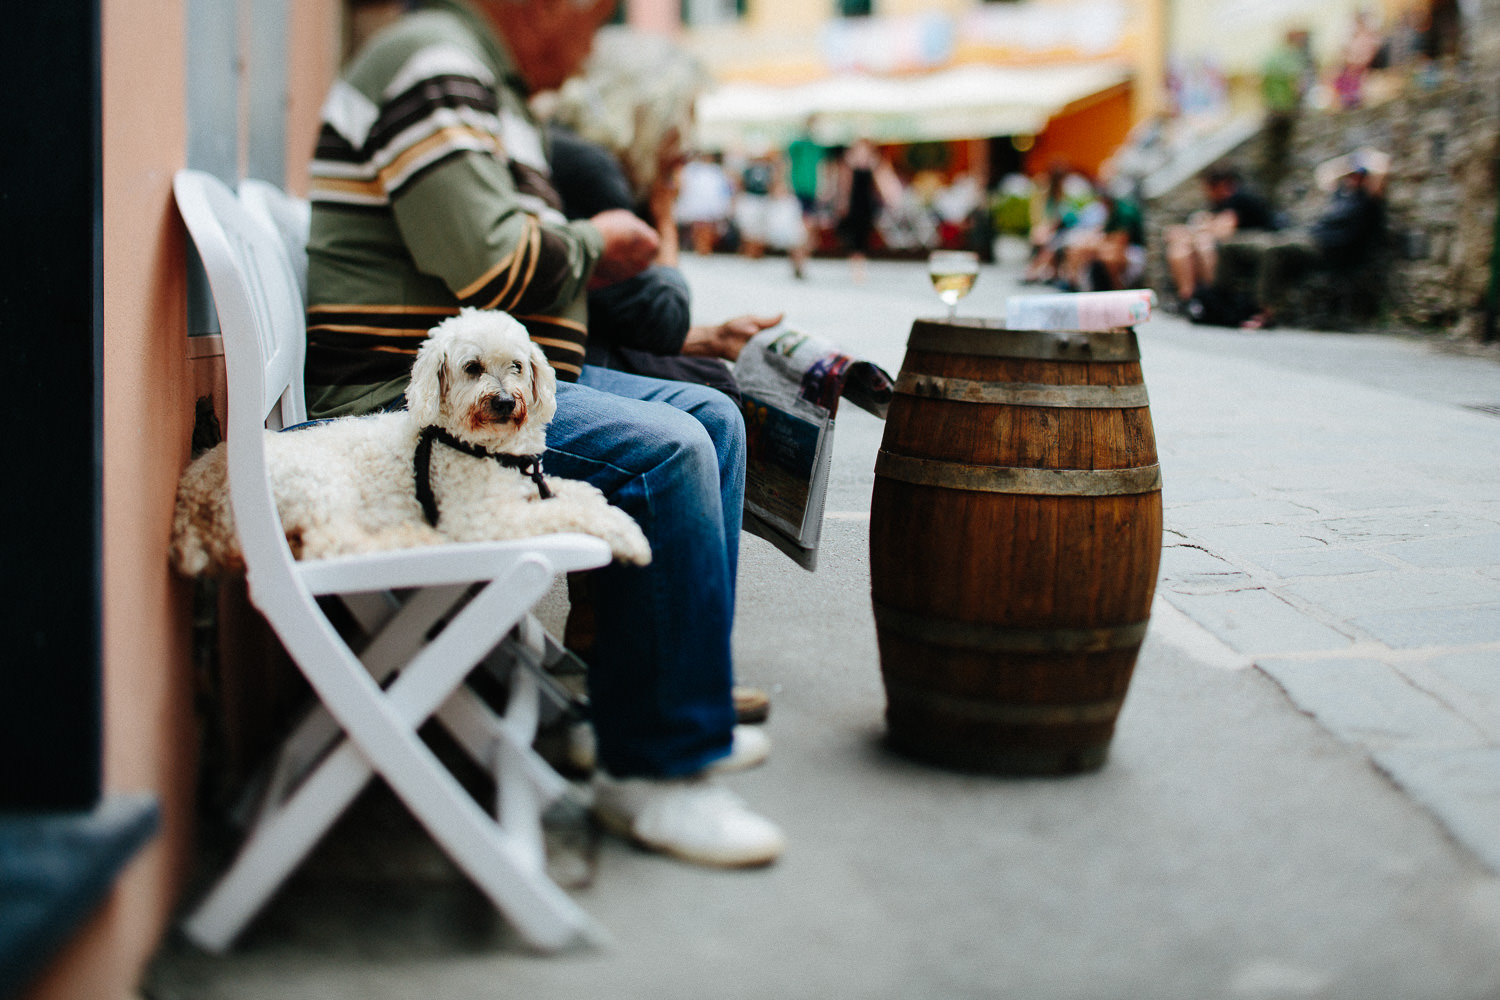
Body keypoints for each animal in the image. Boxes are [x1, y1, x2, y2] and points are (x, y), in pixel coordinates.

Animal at [171, 307, 651, 578]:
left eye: (516, 366)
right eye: (472, 367)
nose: (503, 401)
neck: (477, 447)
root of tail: (198, 485)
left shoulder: (528, 489)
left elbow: (580, 494)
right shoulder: (481, 520)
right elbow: (569, 509)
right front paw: (629, 539)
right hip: (321, 483)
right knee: (335, 546)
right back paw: (413, 539)